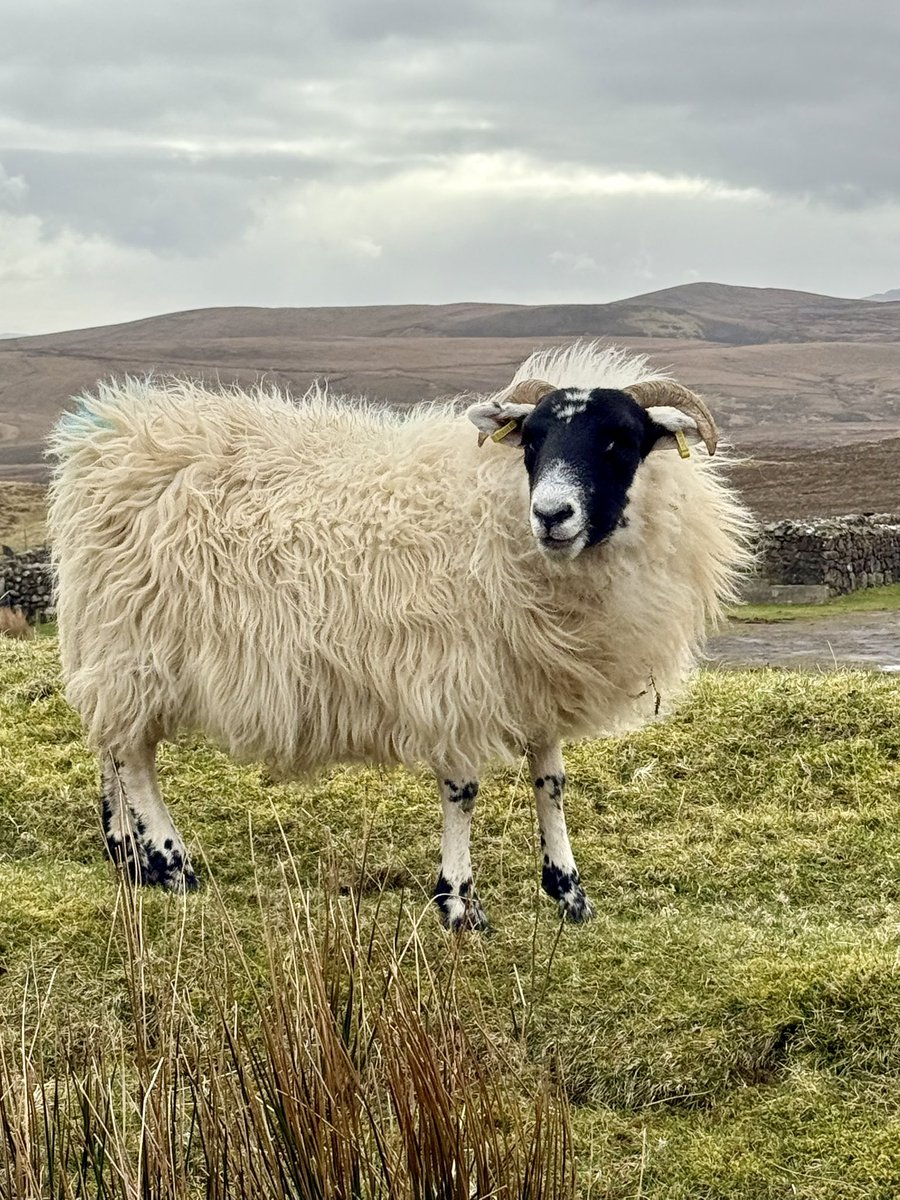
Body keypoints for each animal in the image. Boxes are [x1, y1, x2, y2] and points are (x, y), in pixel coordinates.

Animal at [48, 342, 754, 929]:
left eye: (619, 439)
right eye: (531, 441)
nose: (551, 514)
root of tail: (108, 436)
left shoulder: (532, 675)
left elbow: (550, 783)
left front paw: (568, 893)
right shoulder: (457, 674)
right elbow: (463, 791)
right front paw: (458, 904)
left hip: (111, 643)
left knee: (108, 740)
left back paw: (126, 854)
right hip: (134, 639)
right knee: (133, 756)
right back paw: (172, 863)